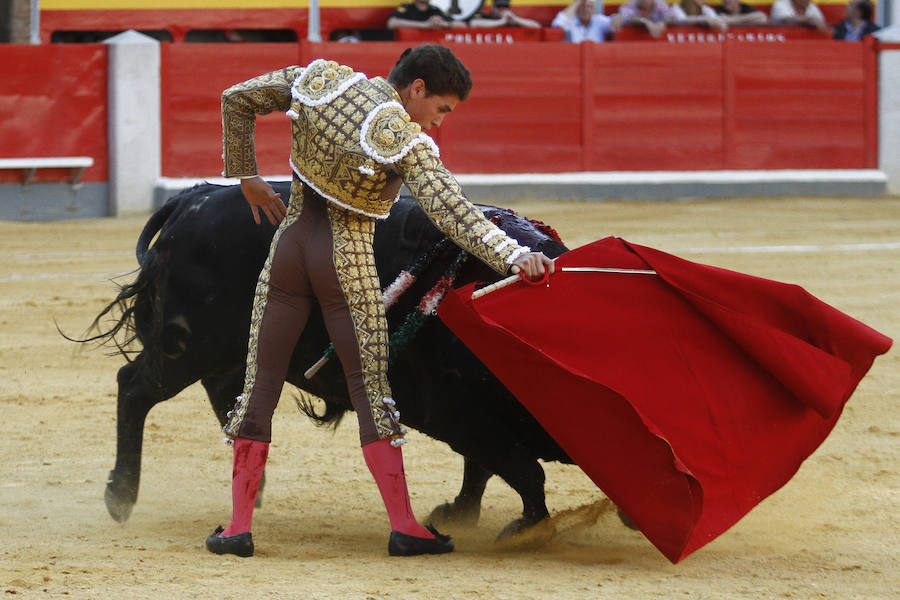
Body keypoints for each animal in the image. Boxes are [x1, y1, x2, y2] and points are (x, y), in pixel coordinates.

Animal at [86, 180, 576, 536]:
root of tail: (193, 199)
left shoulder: (476, 422)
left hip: (229, 350)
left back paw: (250, 482)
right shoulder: (455, 412)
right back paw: (120, 496)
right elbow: (522, 469)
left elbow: (486, 469)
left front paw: (458, 514)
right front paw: (526, 528)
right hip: (187, 347)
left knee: (226, 391)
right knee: (135, 387)